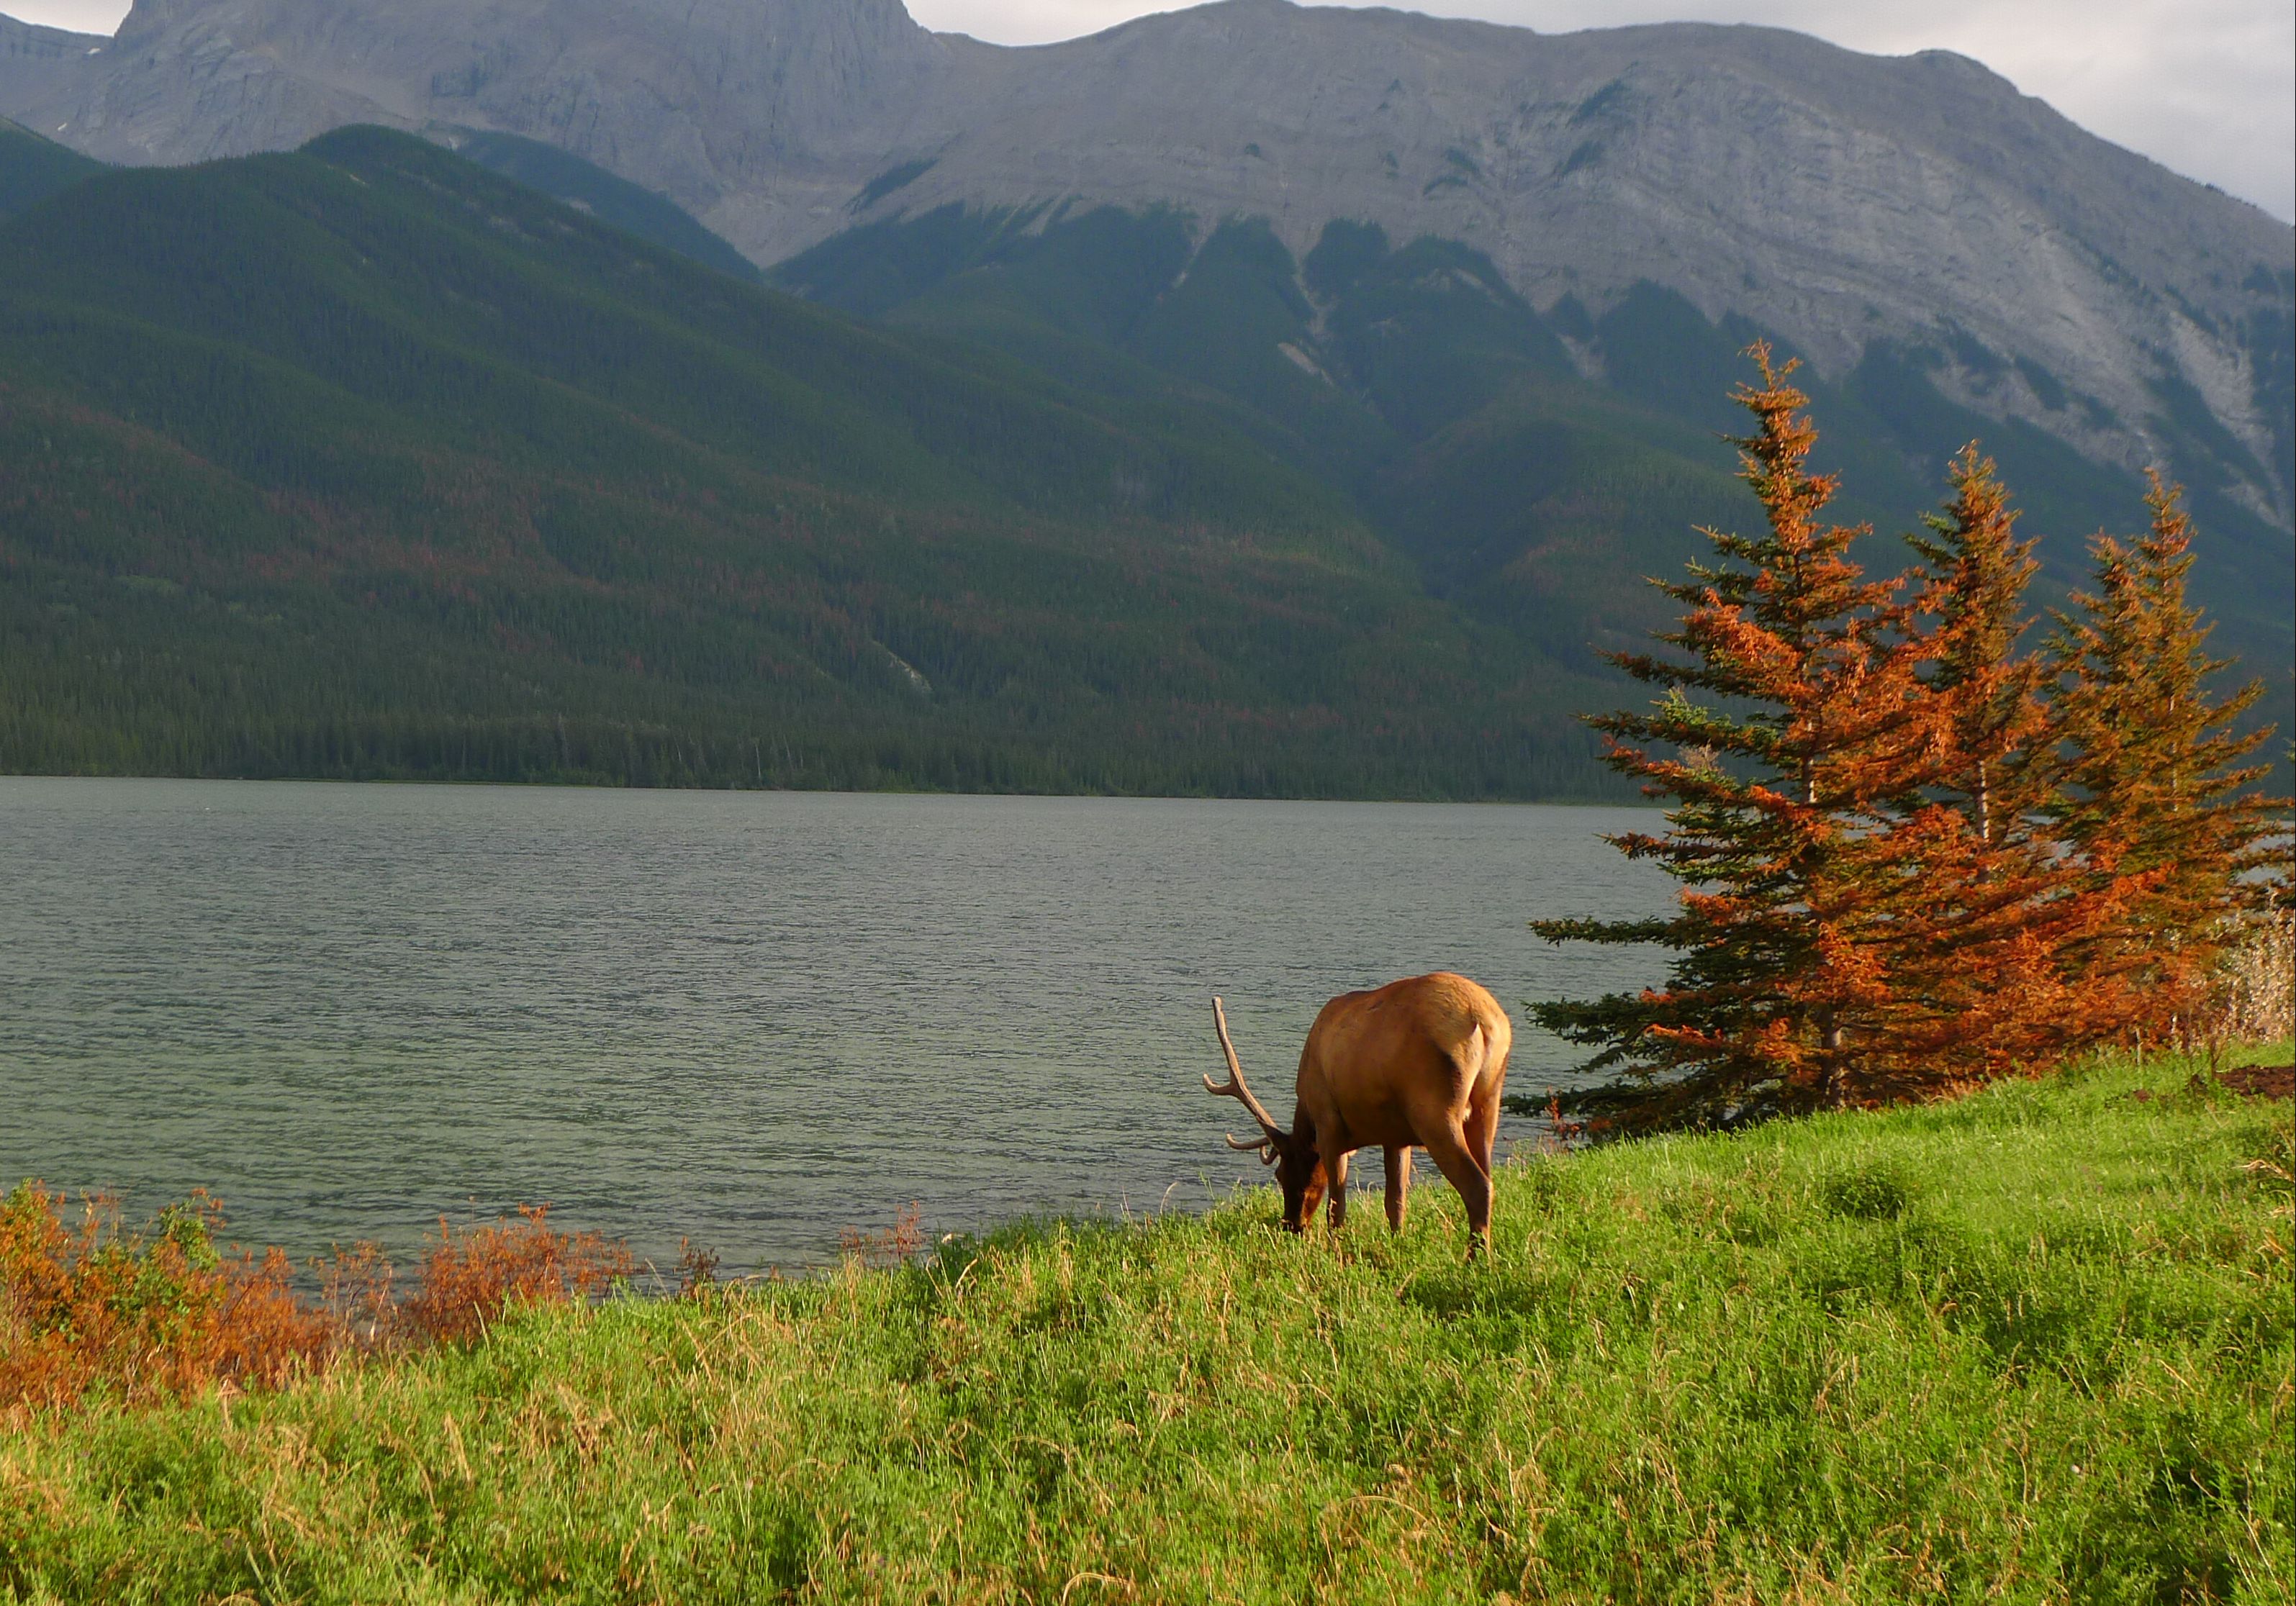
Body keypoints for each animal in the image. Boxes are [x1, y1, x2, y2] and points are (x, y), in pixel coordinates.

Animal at [1212, 972, 1515, 1257]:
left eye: (1280, 1174)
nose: (1291, 1225)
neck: (1307, 1117)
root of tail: (1485, 1023)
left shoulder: (1329, 1123)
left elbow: (1336, 1206)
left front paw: (1335, 1251)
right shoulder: (1396, 1136)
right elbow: (1395, 1202)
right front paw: (1396, 1243)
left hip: (1435, 1110)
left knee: (1477, 1185)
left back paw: (1476, 1260)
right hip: (1488, 1103)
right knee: (1489, 1177)